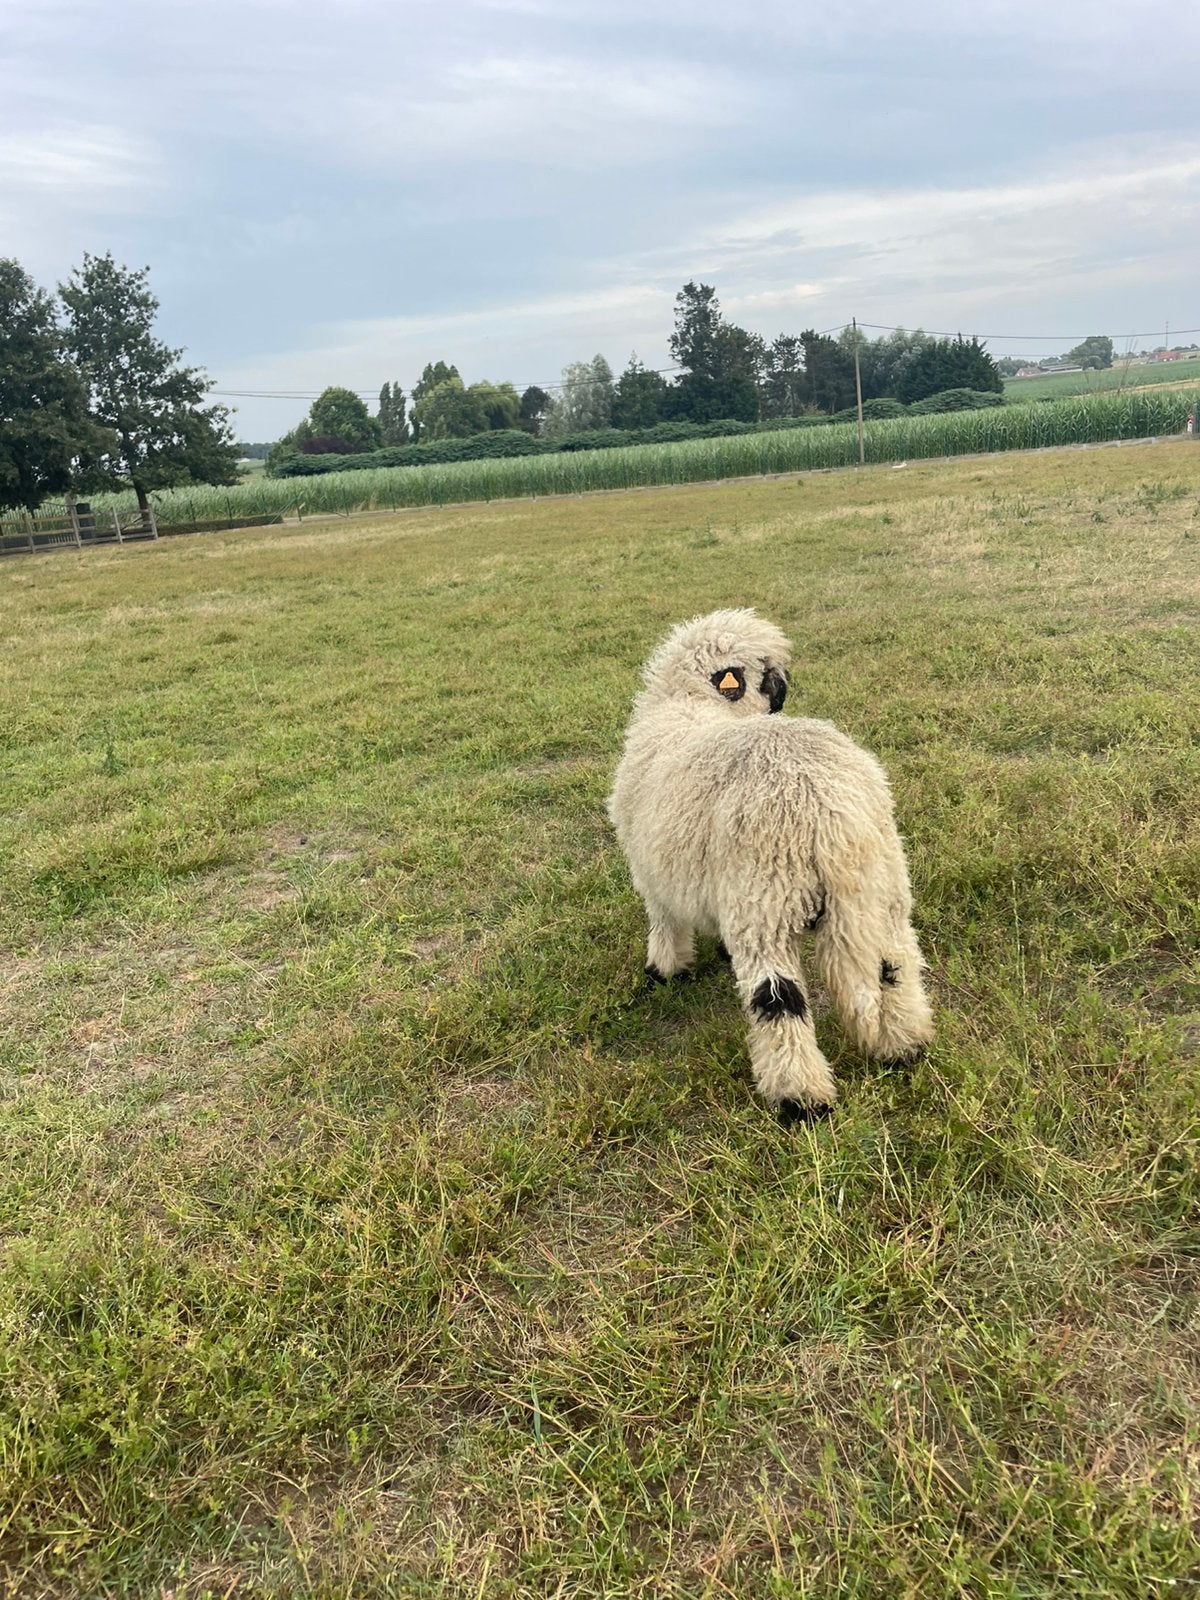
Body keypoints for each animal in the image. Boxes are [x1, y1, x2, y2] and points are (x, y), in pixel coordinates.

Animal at [607, 608, 933, 1120]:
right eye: (768, 674)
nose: (783, 693)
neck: (692, 704)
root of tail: (827, 812)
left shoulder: (655, 877)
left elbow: (665, 928)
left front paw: (664, 972)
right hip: (883, 888)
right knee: (894, 965)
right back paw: (903, 1047)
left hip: (765, 904)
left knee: (778, 1000)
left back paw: (800, 1100)